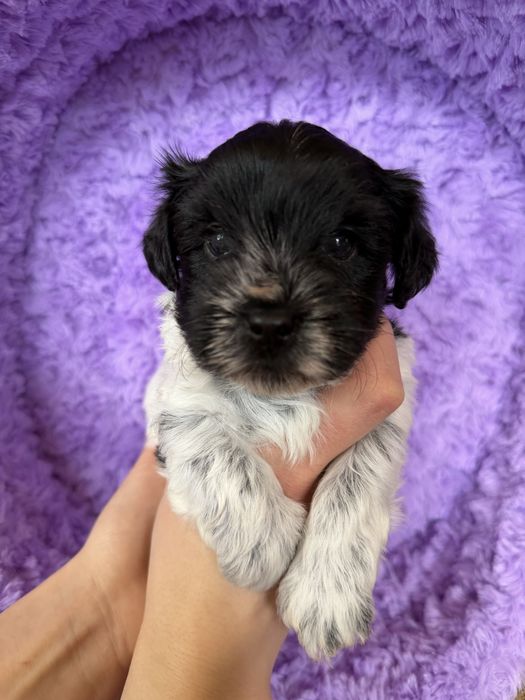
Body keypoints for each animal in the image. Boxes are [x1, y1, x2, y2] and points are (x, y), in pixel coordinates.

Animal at [143, 120, 438, 659]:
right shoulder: (172, 400)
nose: (270, 322)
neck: (280, 394)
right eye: (217, 242)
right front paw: (264, 544)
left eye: (341, 243)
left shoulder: (391, 408)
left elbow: (359, 477)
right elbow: (211, 444)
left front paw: (327, 596)